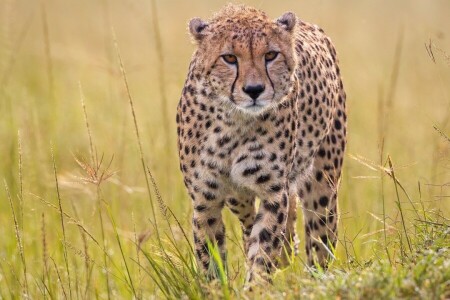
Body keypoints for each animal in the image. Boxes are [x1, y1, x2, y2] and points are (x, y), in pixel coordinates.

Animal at [176, 3, 348, 282]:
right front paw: (216, 286)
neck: (233, 120)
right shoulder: (205, 200)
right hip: (238, 197)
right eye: (229, 58)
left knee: (319, 240)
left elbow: (263, 252)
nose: (254, 90)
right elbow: (210, 258)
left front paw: (256, 284)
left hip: (323, 183)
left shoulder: (273, 194)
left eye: (270, 55)